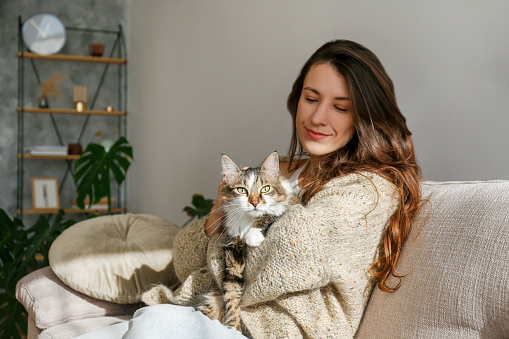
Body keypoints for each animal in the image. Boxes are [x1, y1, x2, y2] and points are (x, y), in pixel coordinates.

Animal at [195, 151, 298, 332]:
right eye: (242, 190)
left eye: (265, 189)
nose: (255, 202)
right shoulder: (232, 249)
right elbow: (231, 295)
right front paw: (232, 327)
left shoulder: (288, 205)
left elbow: (269, 214)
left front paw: (254, 235)